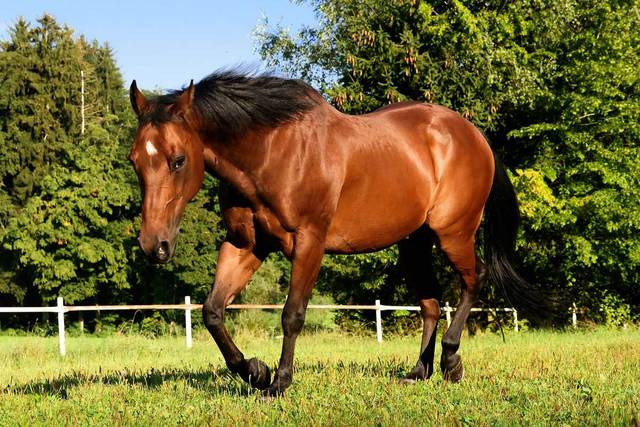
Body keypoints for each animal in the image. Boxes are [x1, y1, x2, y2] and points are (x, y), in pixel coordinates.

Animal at [128, 69, 538, 397]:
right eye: (135, 161)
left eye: (178, 160)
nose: (154, 245)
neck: (271, 153)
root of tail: (474, 136)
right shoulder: (245, 245)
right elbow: (212, 311)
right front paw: (255, 372)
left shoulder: (310, 242)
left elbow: (292, 314)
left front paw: (279, 382)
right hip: (413, 242)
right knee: (431, 303)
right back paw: (418, 371)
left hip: (453, 233)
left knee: (473, 280)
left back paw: (451, 362)